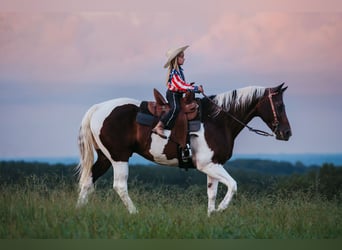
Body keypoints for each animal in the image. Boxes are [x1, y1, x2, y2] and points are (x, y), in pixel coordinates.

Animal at [77, 83, 292, 216]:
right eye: (280, 105)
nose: (287, 133)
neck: (217, 120)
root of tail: (97, 108)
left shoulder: (213, 166)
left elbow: (212, 193)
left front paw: (211, 215)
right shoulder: (208, 165)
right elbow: (233, 185)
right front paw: (220, 210)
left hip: (105, 158)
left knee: (88, 180)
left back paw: (79, 211)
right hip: (119, 157)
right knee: (119, 186)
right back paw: (135, 213)